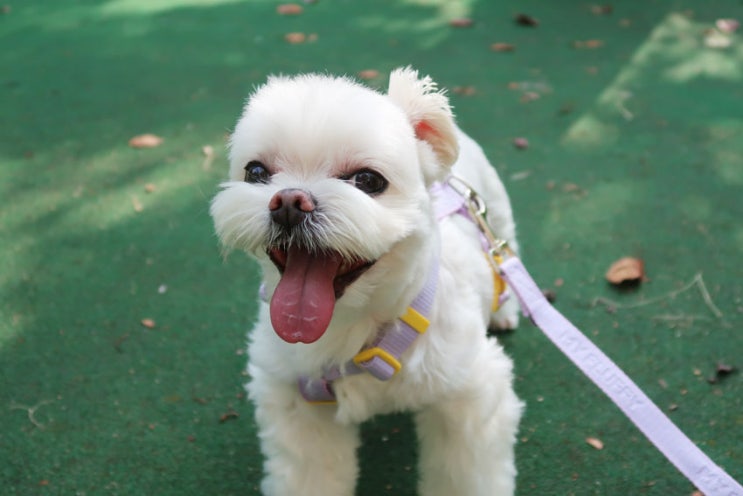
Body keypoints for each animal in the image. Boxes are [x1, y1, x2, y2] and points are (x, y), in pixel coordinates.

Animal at [210, 67, 523, 496]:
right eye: (255, 172)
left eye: (368, 180)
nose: (289, 202)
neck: (355, 326)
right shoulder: (299, 407)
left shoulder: (471, 397)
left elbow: (465, 475)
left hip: (496, 217)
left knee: (507, 261)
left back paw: (505, 309)